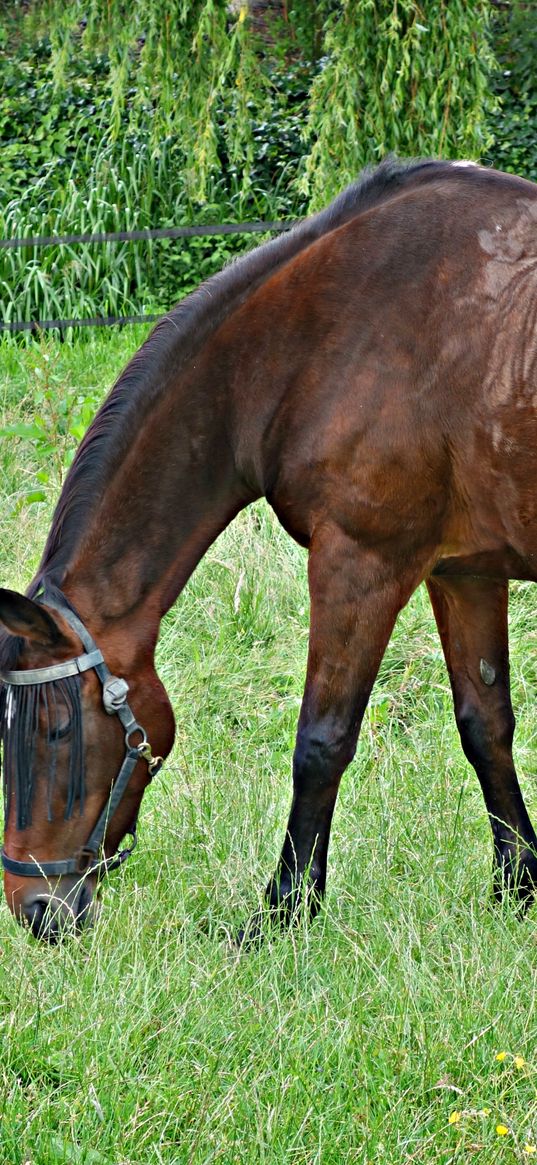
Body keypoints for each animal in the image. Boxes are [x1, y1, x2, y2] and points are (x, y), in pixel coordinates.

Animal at [1, 154, 535, 941]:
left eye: (59, 728)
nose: (36, 910)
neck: (311, 341)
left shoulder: (360, 562)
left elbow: (321, 741)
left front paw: (285, 909)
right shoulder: (462, 572)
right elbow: (485, 726)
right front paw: (518, 886)